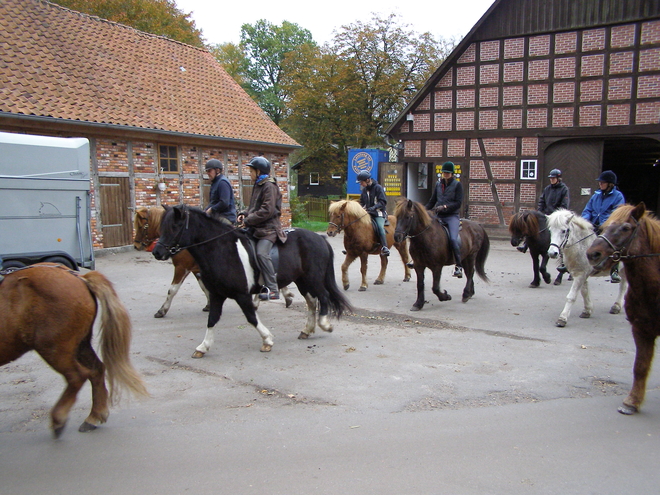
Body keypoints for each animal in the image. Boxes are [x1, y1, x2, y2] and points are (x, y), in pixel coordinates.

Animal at [0, 264, 147, 438]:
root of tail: (79, 278)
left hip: (54, 349)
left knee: (77, 376)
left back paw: (59, 419)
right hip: (80, 345)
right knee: (97, 369)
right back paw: (94, 416)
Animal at [152, 205, 354, 356]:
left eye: (174, 227)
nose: (157, 252)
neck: (221, 250)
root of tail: (320, 238)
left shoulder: (241, 295)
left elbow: (251, 317)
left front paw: (267, 340)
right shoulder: (217, 295)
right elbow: (212, 319)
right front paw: (203, 346)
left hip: (313, 278)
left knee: (323, 296)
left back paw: (324, 324)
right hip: (302, 281)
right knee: (312, 301)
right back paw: (307, 330)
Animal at [588, 203, 660, 416]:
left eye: (626, 228)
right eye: (603, 227)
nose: (592, 254)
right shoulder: (640, 328)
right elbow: (640, 366)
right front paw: (631, 402)